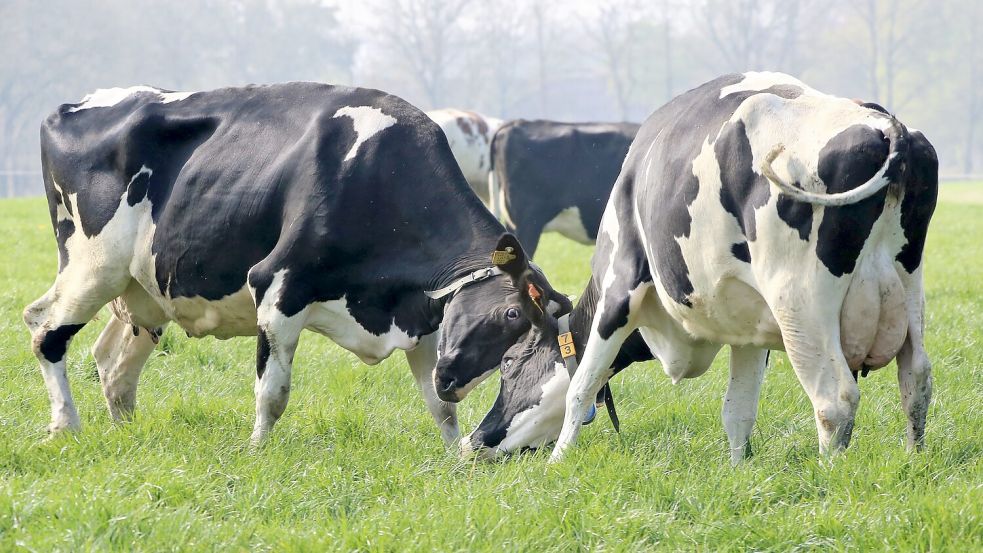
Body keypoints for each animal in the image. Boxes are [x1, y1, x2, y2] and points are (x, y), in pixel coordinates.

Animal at [23, 83, 564, 444]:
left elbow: (438, 409)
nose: (453, 381)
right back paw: (66, 425)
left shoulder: (424, 315)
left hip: (144, 292)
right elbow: (273, 393)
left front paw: (455, 460)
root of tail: (76, 104)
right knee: (43, 328)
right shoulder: (277, 288)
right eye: (510, 315)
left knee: (113, 363)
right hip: (92, 268)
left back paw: (125, 433)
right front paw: (257, 452)